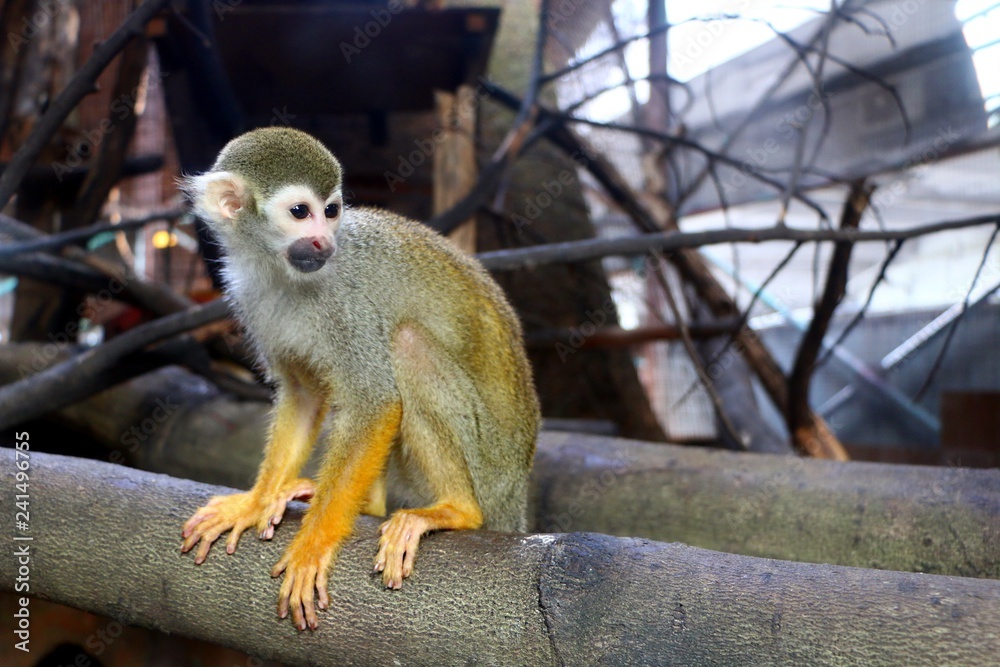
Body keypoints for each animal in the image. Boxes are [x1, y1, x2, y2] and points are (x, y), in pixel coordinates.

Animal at [179, 127, 539, 631]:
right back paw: (361, 506)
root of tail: (517, 493)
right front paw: (252, 503)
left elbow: (375, 402)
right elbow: (304, 395)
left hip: (491, 466)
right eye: (300, 213)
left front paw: (313, 546)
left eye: (331, 211)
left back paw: (455, 510)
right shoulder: (250, 297)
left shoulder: (344, 301)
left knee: (407, 346)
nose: (323, 242)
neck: (280, 270)